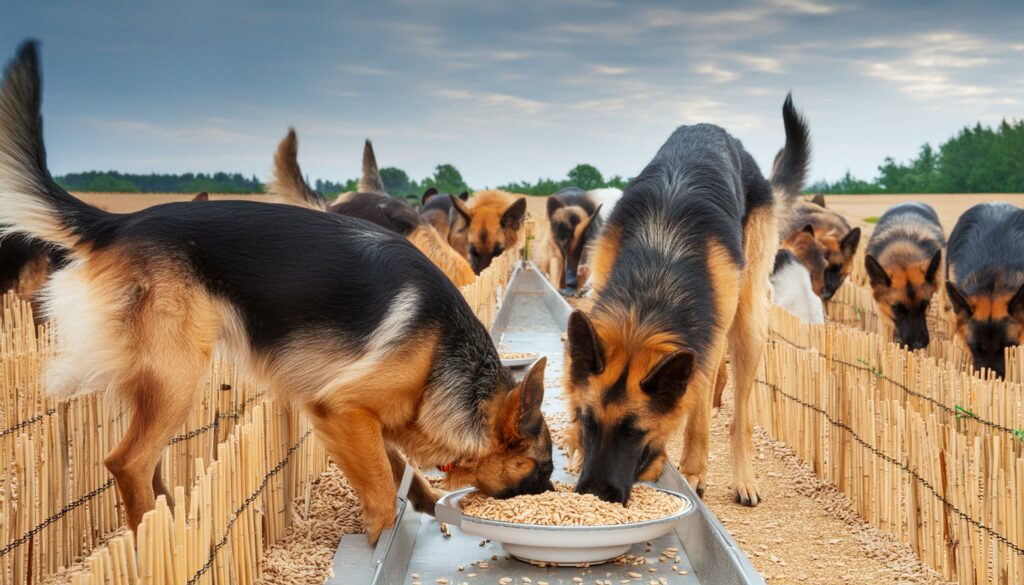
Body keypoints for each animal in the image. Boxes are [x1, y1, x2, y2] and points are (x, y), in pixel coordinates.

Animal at [561, 93, 806, 506]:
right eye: (590, 422)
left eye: (633, 432)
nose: (595, 495)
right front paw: (575, 445)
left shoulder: (703, 345)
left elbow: (699, 419)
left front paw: (692, 472)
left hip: (748, 324)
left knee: (740, 417)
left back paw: (743, 477)